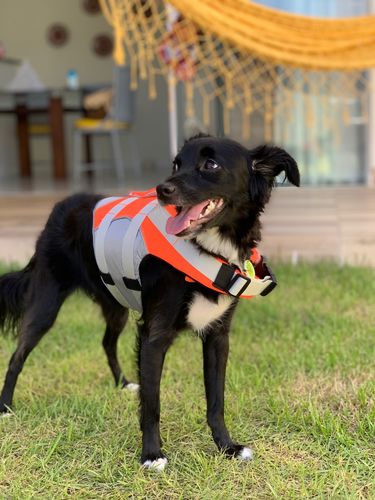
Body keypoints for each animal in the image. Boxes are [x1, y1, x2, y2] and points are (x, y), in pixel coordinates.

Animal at [0, 136, 300, 468]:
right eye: (176, 164)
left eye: (210, 164)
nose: (161, 189)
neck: (207, 250)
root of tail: (61, 205)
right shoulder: (153, 335)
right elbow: (152, 401)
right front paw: (152, 454)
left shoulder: (218, 336)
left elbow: (216, 400)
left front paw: (227, 447)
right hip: (45, 305)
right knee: (16, 356)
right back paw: (5, 407)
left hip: (114, 304)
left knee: (106, 342)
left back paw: (122, 383)